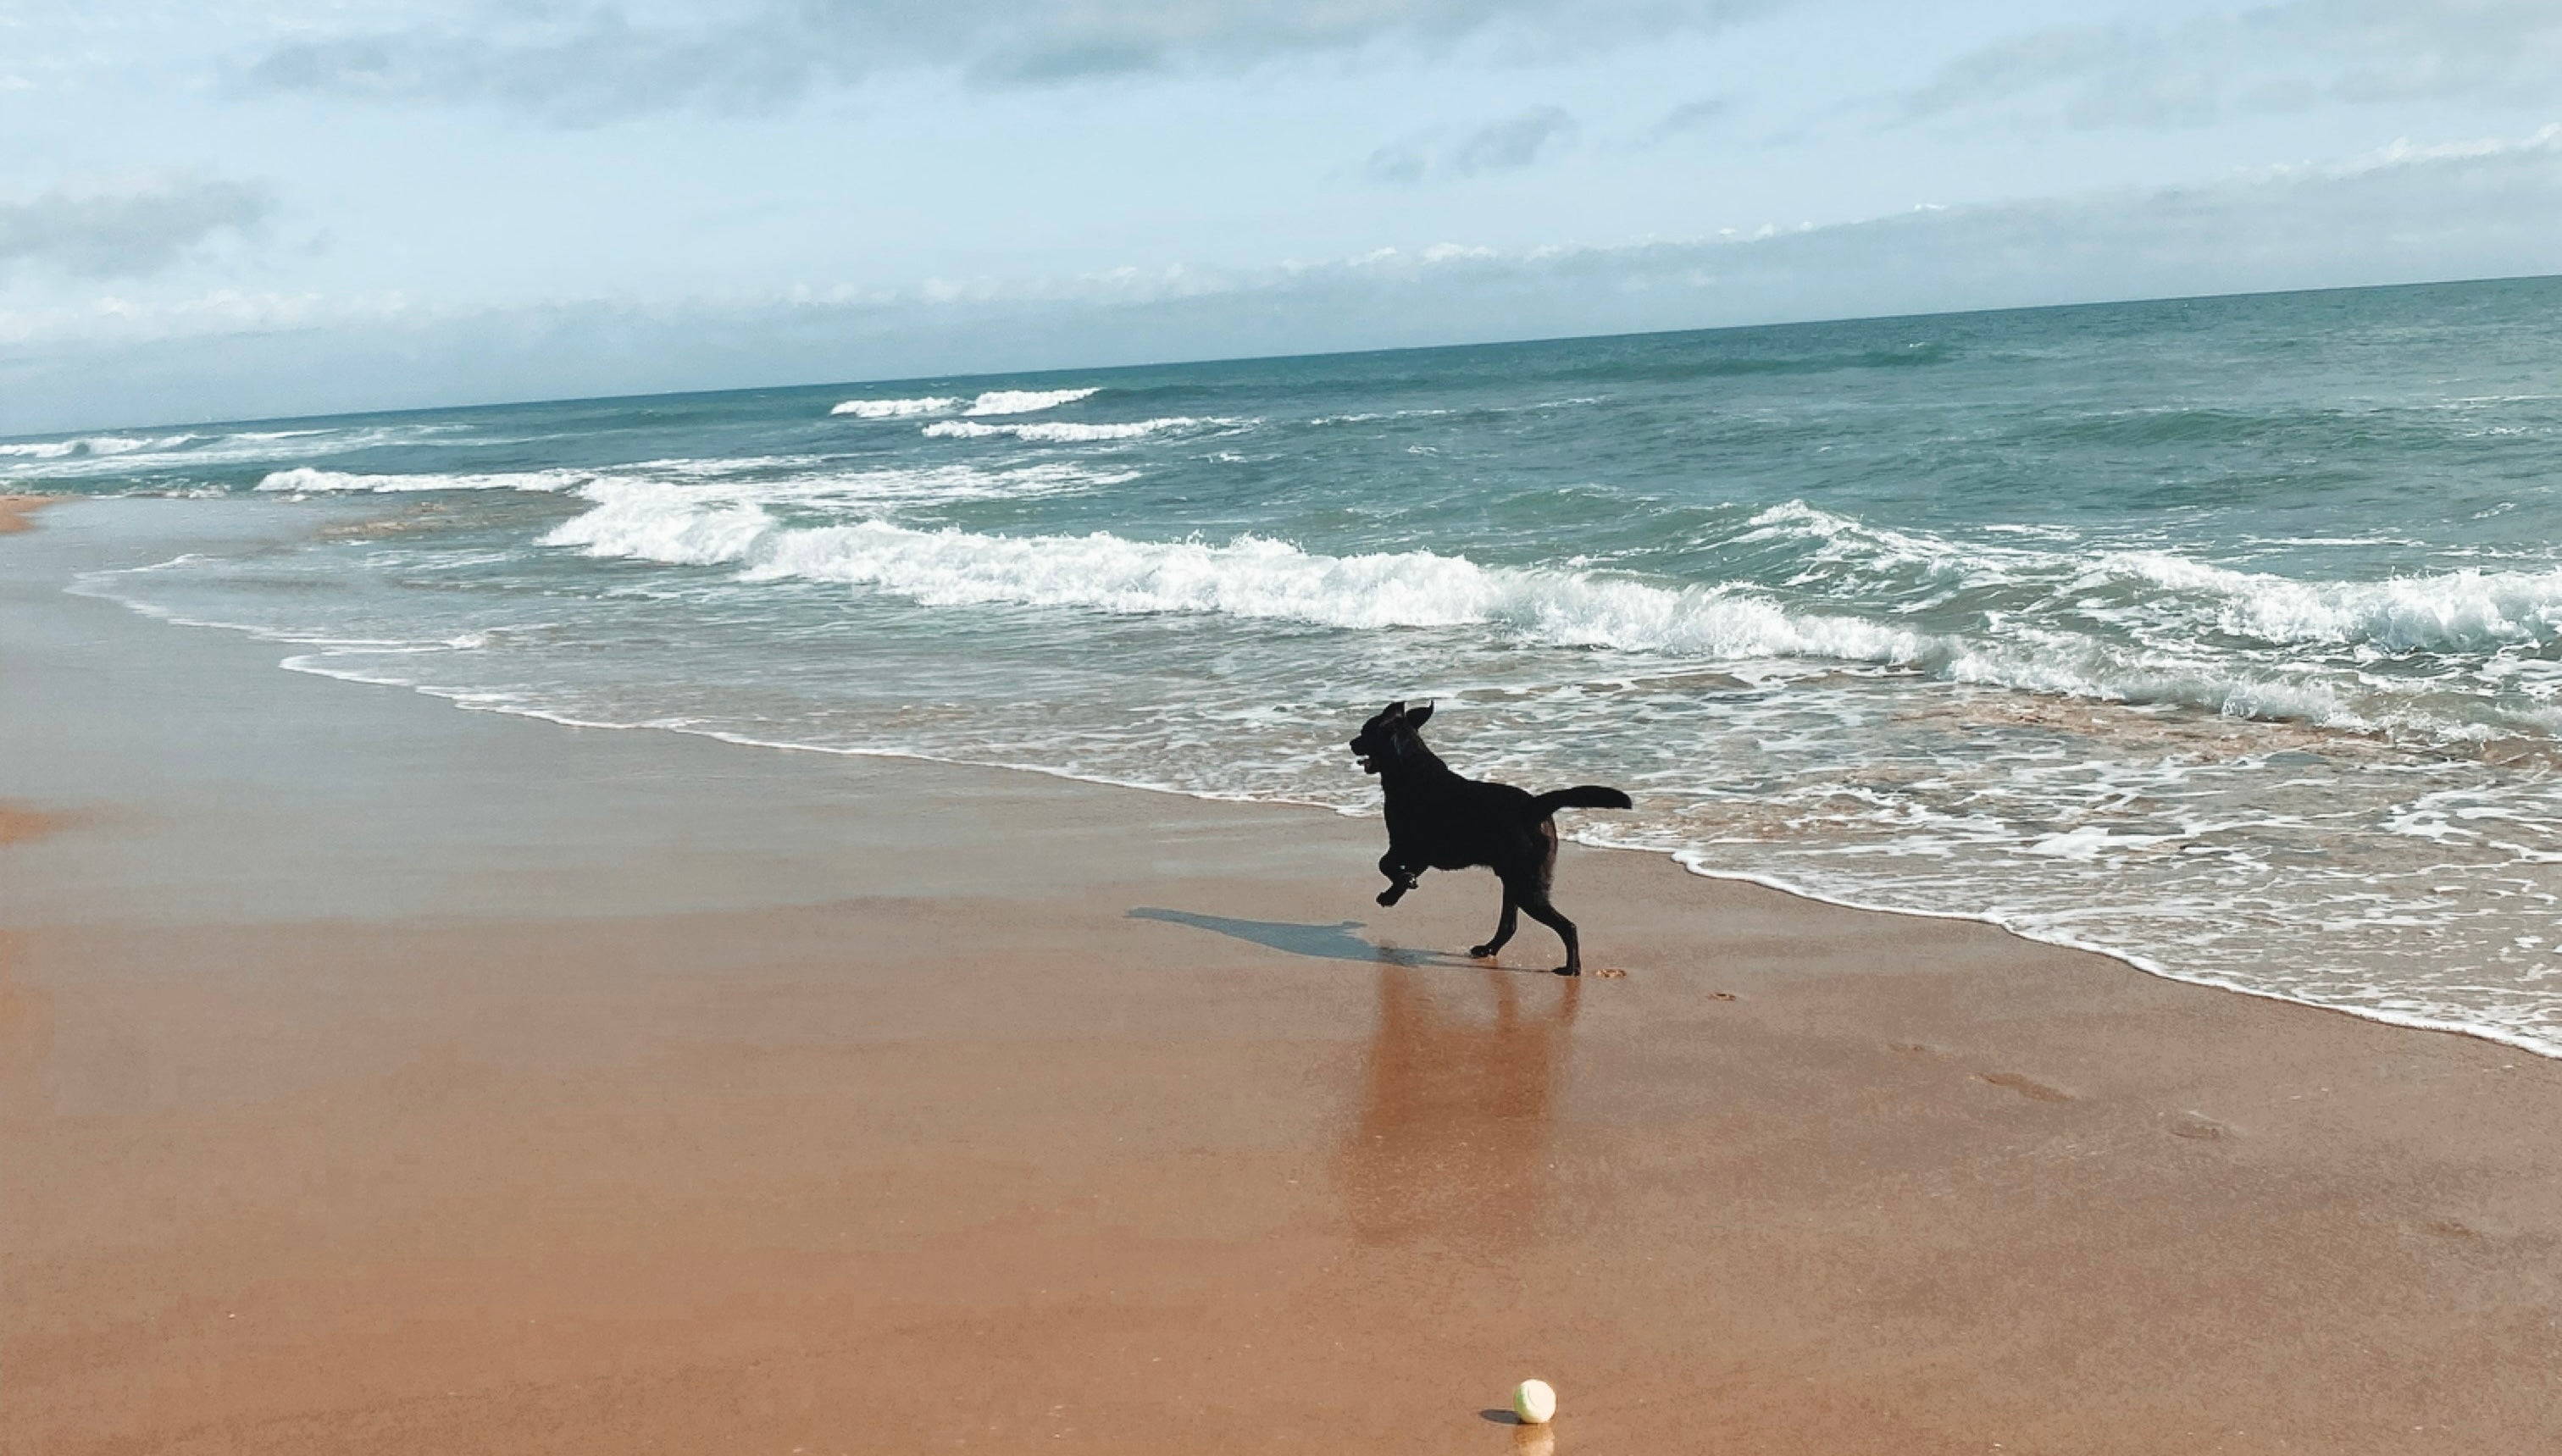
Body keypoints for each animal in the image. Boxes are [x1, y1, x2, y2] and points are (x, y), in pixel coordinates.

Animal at [1352, 702, 1629, 979]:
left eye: (1366, 730)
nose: (1351, 742)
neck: (1408, 767)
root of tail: (1534, 806)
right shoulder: (1421, 854)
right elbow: (1398, 871)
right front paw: (1397, 891)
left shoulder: (1406, 845)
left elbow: (1384, 864)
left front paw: (1398, 886)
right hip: (1515, 881)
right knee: (1510, 925)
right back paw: (1488, 949)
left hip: (1526, 886)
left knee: (1567, 926)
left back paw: (1571, 968)